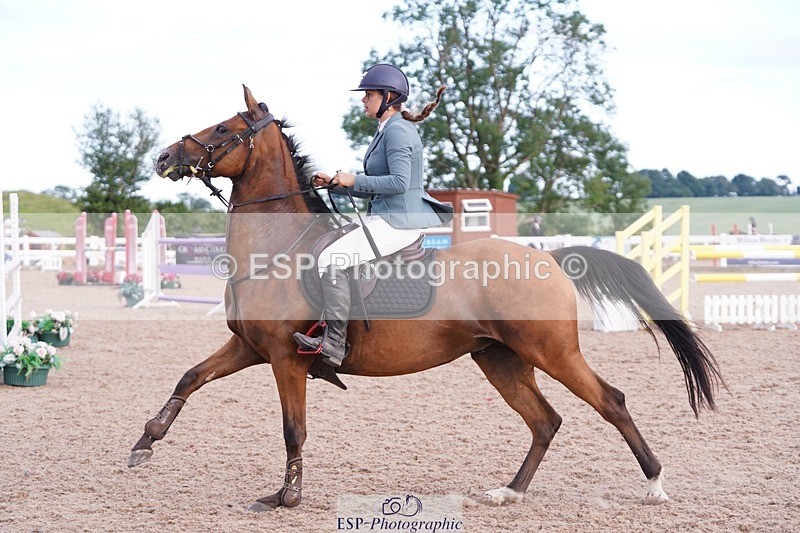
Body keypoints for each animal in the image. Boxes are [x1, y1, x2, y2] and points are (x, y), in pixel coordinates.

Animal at [129, 85, 723, 512]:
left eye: (223, 128)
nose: (163, 157)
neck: (278, 249)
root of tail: (551, 259)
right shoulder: (250, 349)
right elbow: (189, 378)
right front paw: (144, 444)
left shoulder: (284, 358)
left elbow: (293, 428)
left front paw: (287, 496)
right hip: (501, 358)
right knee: (545, 421)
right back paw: (510, 491)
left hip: (552, 352)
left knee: (610, 402)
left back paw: (655, 486)